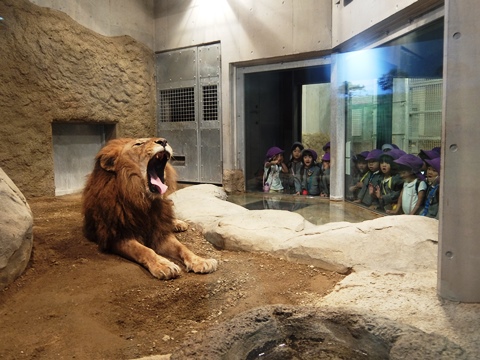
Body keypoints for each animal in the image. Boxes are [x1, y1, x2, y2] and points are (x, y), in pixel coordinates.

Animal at [82, 136, 218, 280]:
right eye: (138, 143)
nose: (163, 141)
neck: (144, 200)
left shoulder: (160, 232)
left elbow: (182, 248)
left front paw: (201, 261)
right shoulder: (118, 236)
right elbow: (144, 250)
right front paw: (164, 265)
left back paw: (178, 224)